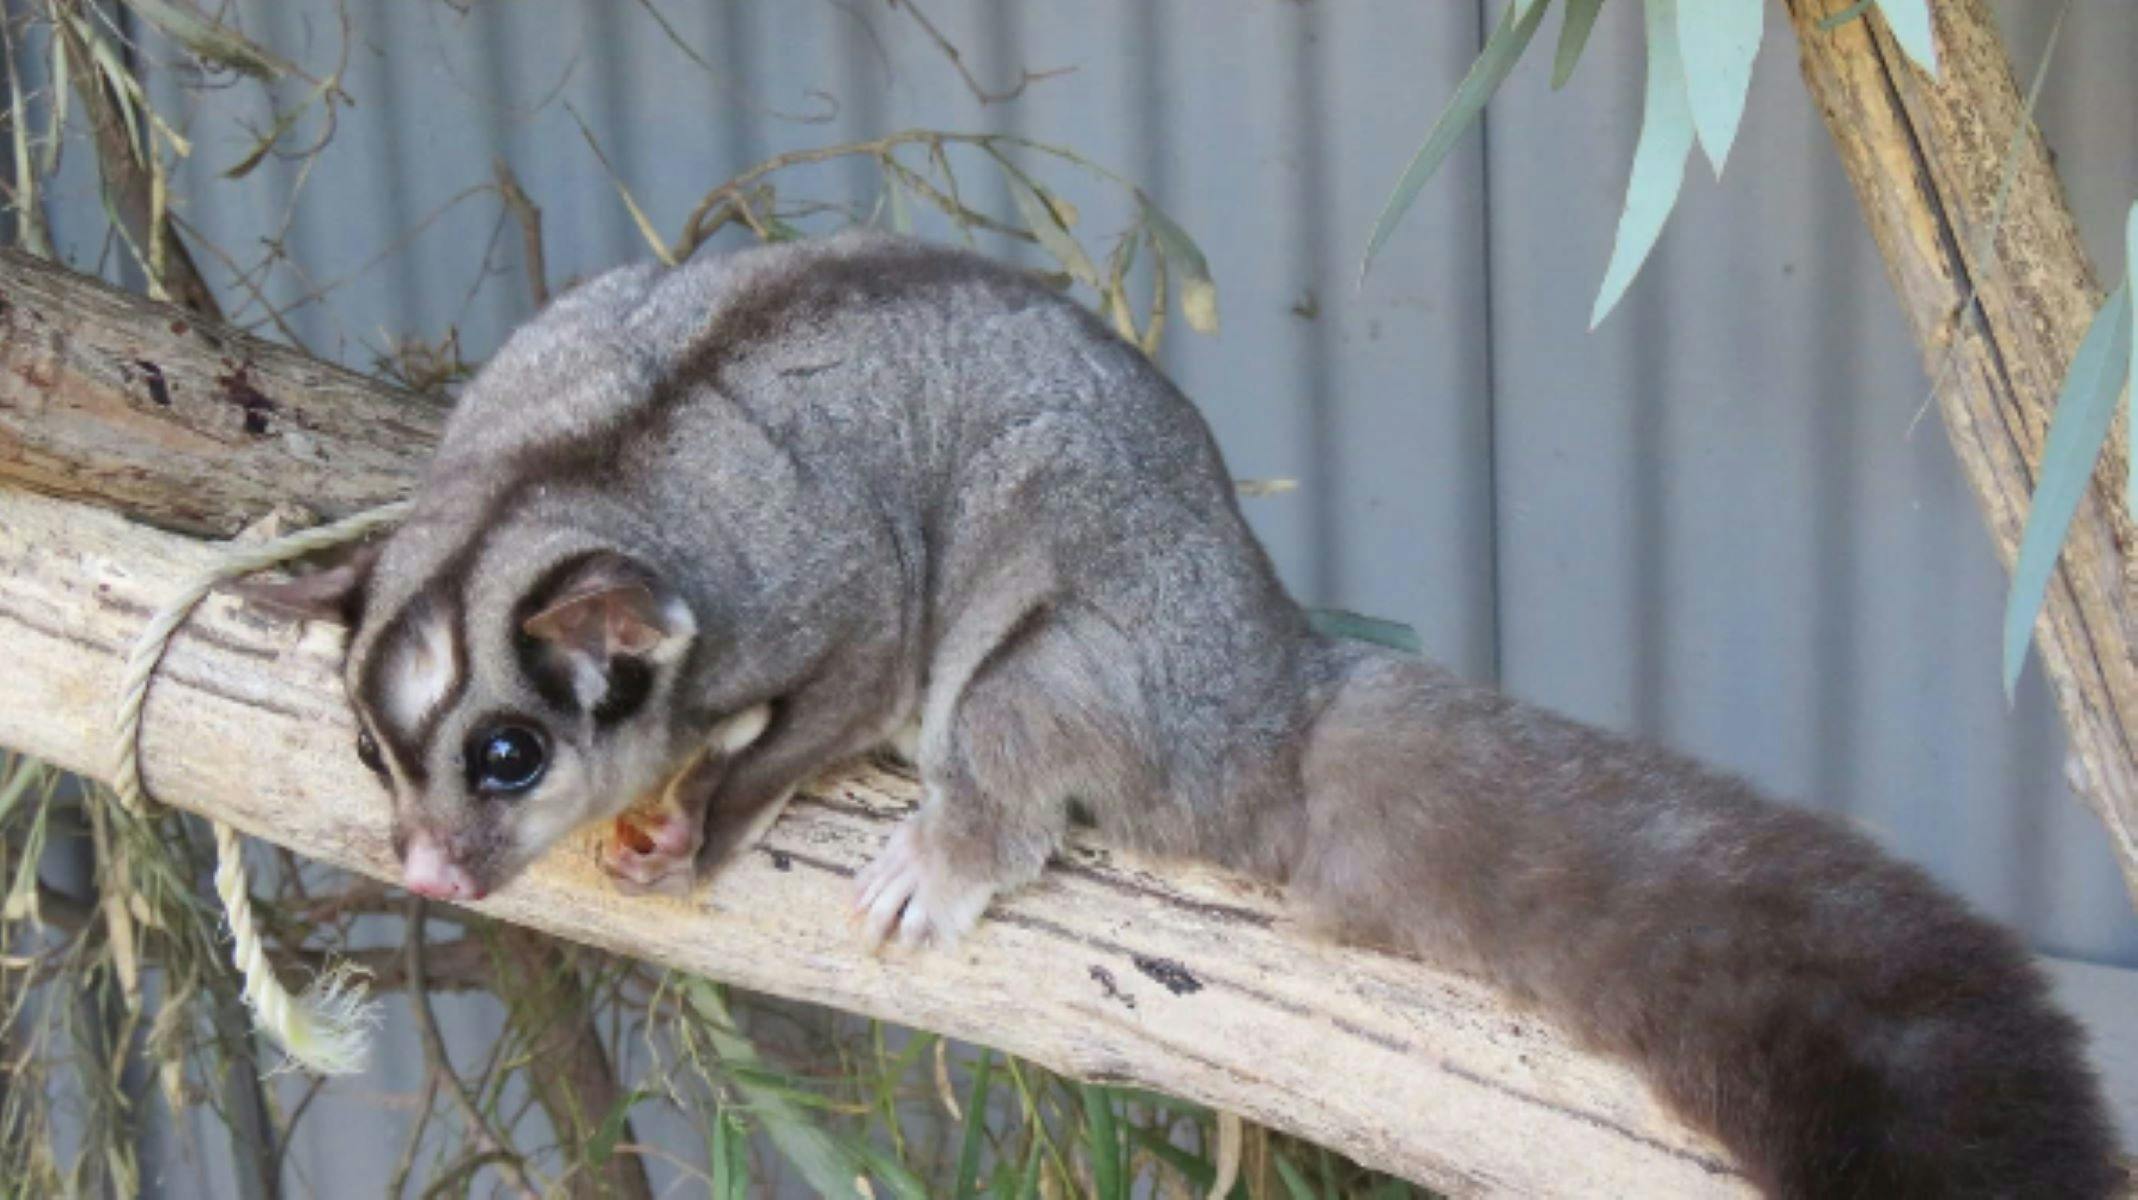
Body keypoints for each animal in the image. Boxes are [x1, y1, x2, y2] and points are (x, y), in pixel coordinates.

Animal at [257, 231, 2118, 1198]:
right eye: (374, 754)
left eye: (508, 755)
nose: (425, 872)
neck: (552, 478)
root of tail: (1272, 687)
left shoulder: (813, 591)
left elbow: (839, 682)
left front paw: (702, 819)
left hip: (1117, 670)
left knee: (1013, 696)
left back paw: (951, 839)